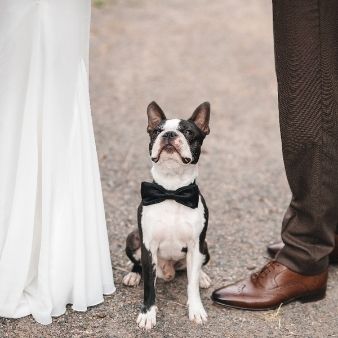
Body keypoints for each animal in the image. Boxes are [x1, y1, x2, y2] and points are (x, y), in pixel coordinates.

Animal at [123, 102, 210, 330]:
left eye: (188, 132)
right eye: (156, 131)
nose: (169, 134)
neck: (172, 190)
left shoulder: (196, 244)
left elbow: (191, 284)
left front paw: (196, 309)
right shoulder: (148, 246)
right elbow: (149, 286)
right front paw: (147, 314)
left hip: (205, 247)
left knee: (195, 268)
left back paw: (202, 276)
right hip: (133, 238)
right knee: (139, 264)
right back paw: (133, 274)